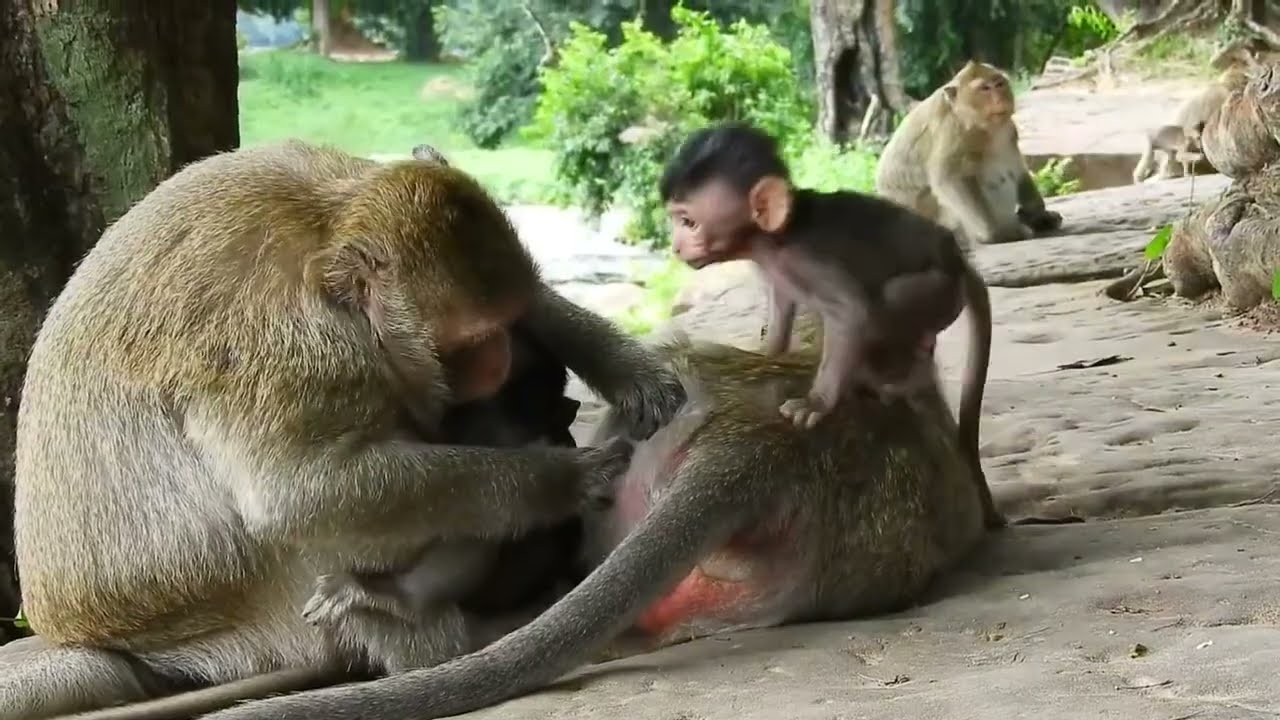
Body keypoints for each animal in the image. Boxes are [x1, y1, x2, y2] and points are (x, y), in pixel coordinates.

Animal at [5, 138, 688, 720]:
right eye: (471, 345)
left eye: (506, 322)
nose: (500, 360)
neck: (323, 233)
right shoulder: (294, 349)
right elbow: (294, 494)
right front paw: (561, 478)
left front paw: (631, 372)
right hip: (259, 626)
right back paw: (428, 630)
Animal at [659, 123, 1003, 530]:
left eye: (688, 222)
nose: (677, 247)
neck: (774, 237)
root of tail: (959, 260)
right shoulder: (777, 270)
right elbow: (782, 304)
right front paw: (768, 353)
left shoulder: (805, 259)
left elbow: (851, 311)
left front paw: (816, 404)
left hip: (937, 290)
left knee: (886, 306)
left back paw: (890, 380)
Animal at [875, 60, 1064, 249]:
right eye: (985, 89)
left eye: (999, 84)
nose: (999, 98)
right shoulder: (954, 131)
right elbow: (949, 178)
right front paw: (996, 234)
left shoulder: (1009, 130)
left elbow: (1017, 166)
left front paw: (1039, 215)